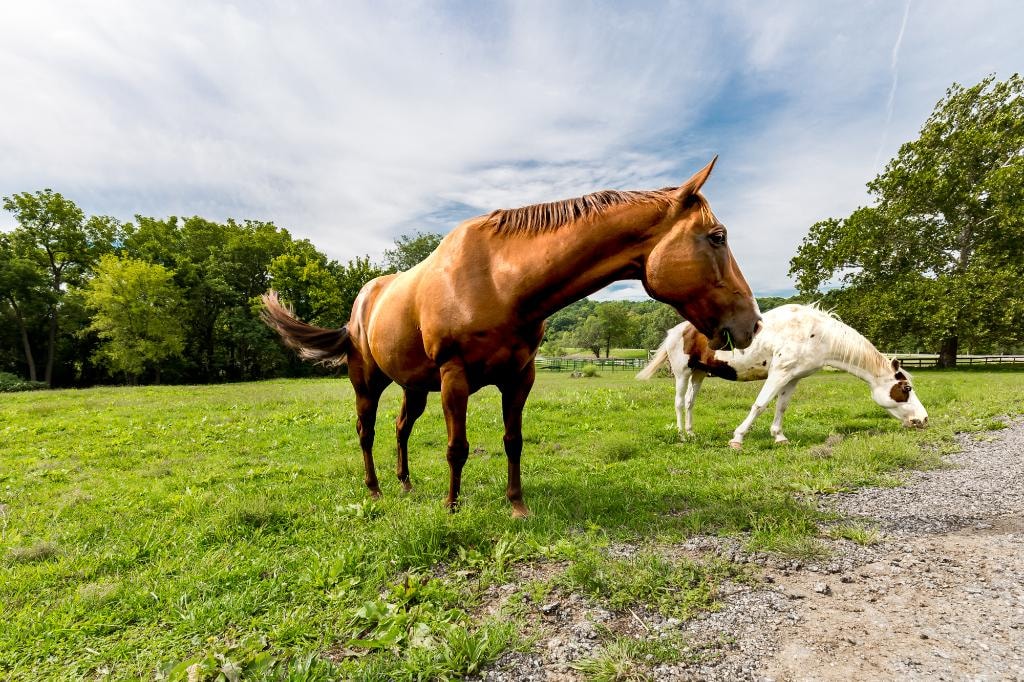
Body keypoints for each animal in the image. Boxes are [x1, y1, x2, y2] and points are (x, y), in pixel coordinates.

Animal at [262, 158, 761, 517]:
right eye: (717, 237)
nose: (752, 323)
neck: (499, 281)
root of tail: (363, 301)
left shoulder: (519, 378)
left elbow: (513, 440)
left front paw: (517, 505)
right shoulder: (455, 377)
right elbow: (457, 448)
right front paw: (452, 507)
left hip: (414, 386)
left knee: (402, 428)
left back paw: (405, 483)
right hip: (367, 382)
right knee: (366, 433)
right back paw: (375, 490)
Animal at [636, 303, 929, 448]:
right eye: (906, 389)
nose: (924, 419)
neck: (816, 333)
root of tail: (678, 329)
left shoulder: (793, 377)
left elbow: (781, 406)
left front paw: (779, 437)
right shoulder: (778, 373)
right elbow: (760, 405)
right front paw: (737, 439)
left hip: (699, 373)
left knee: (689, 403)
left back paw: (691, 433)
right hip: (683, 372)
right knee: (678, 403)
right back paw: (681, 436)